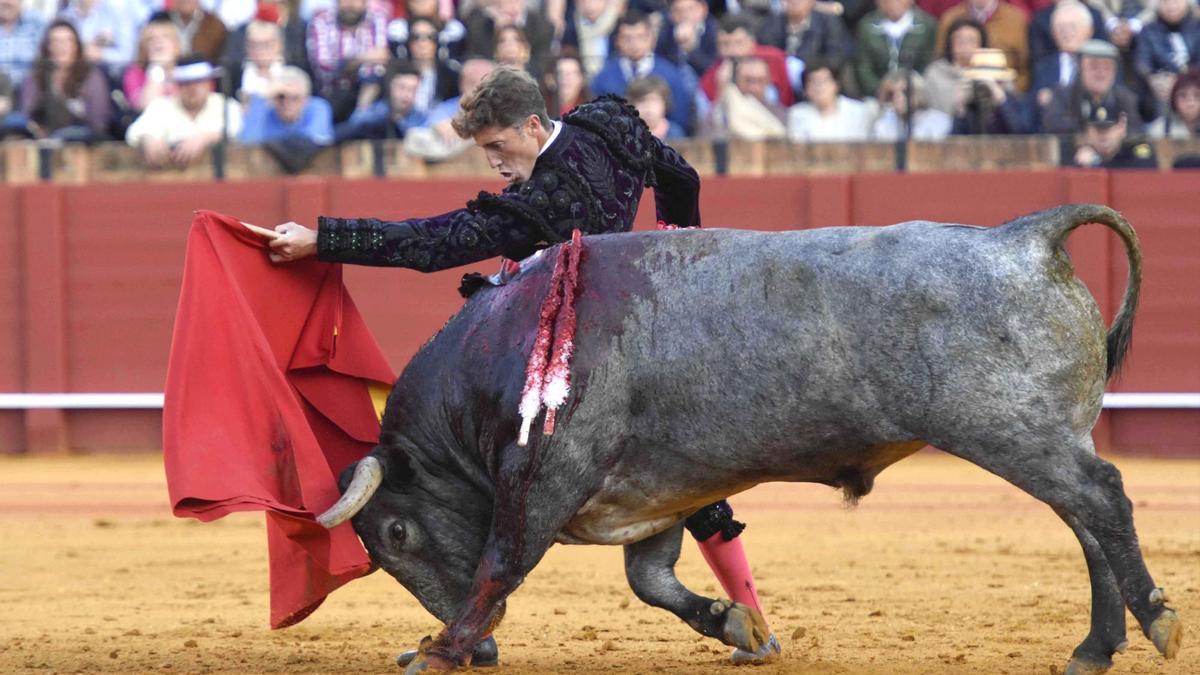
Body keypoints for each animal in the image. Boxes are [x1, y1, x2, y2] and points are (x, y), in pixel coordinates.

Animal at [316, 205, 1180, 672]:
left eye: (396, 533)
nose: (487, 651)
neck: (503, 345)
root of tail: (1024, 236)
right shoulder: (651, 493)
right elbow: (651, 579)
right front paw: (735, 624)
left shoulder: (544, 475)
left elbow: (501, 562)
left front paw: (440, 647)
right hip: (1043, 431)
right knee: (1087, 521)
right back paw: (1096, 644)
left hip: (1009, 428)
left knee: (1102, 499)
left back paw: (1156, 620)